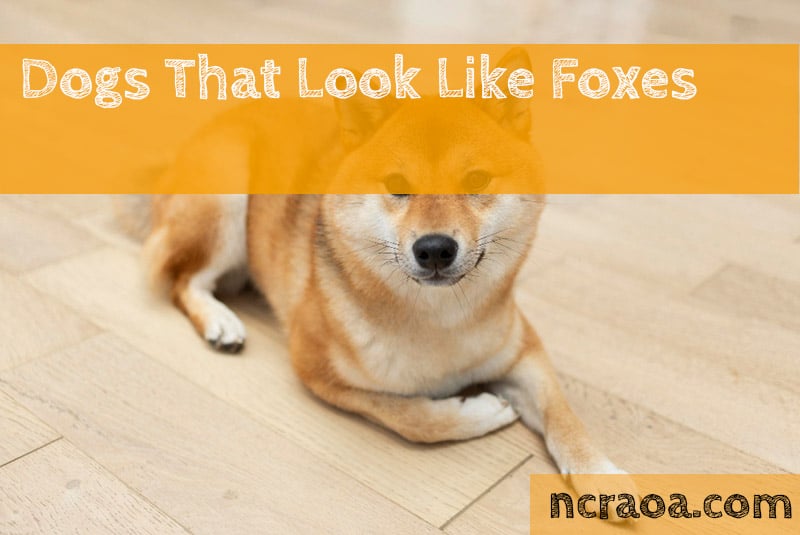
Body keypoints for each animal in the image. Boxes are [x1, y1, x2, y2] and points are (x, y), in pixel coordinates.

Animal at [132, 49, 632, 486]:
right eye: (397, 184)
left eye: (475, 180)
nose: (435, 249)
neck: (440, 322)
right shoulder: (315, 369)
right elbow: (409, 415)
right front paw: (475, 412)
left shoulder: (524, 350)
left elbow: (564, 415)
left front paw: (599, 475)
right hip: (225, 196)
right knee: (183, 280)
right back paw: (220, 321)